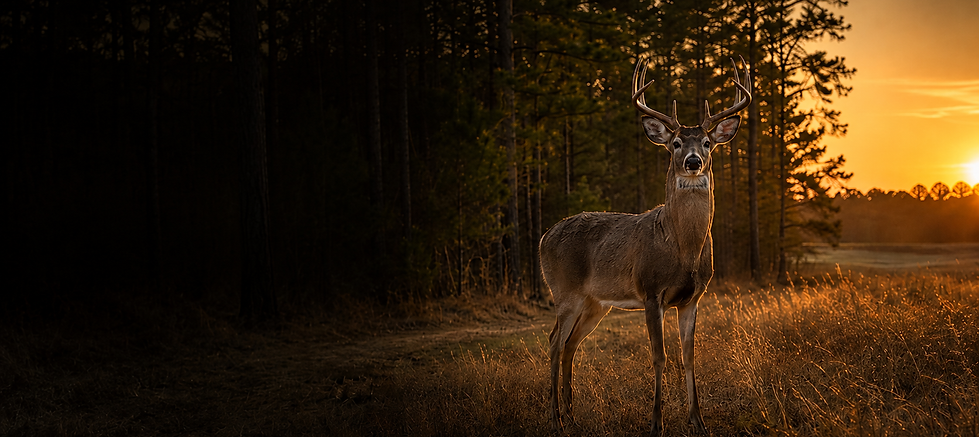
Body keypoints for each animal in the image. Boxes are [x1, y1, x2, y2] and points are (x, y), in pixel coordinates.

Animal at [539, 56, 750, 436]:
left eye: (707, 142)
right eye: (676, 142)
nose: (693, 162)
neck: (684, 249)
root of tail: (544, 236)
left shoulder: (693, 298)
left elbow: (688, 355)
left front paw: (698, 420)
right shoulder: (652, 292)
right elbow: (659, 355)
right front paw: (656, 422)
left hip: (595, 303)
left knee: (570, 344)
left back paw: (572, 415)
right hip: (564, 291)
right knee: (553, 342)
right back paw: (555, 418)